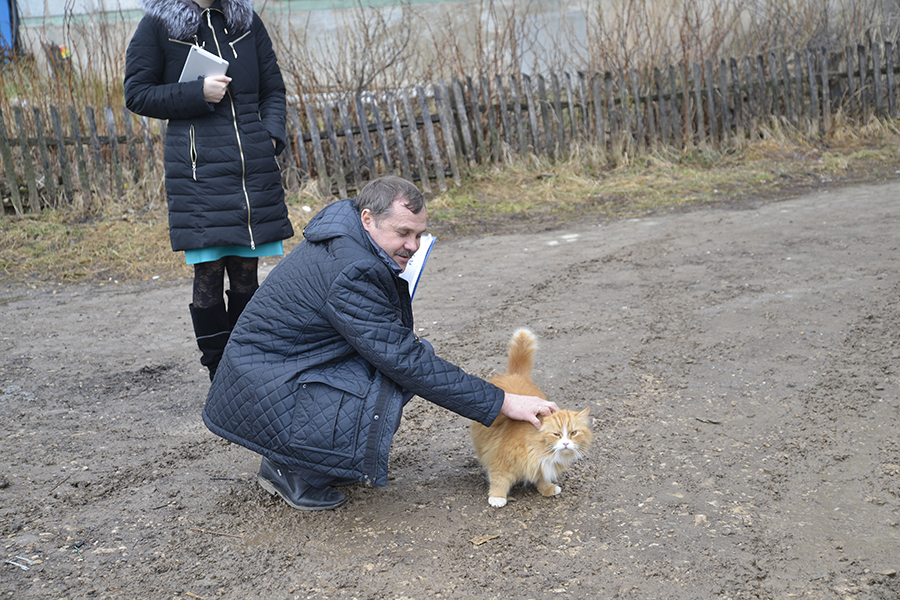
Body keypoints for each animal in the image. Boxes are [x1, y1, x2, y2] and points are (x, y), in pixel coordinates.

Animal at [472, 328, 592, 506]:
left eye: (573, 433)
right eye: (556, 434)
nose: (565, 443)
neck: (542, 452)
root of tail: (515, 375)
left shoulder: (542, 466)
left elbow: (542, 478)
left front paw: (547, 489)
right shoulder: (501, 461)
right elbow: (499, 480)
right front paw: (497, 497)